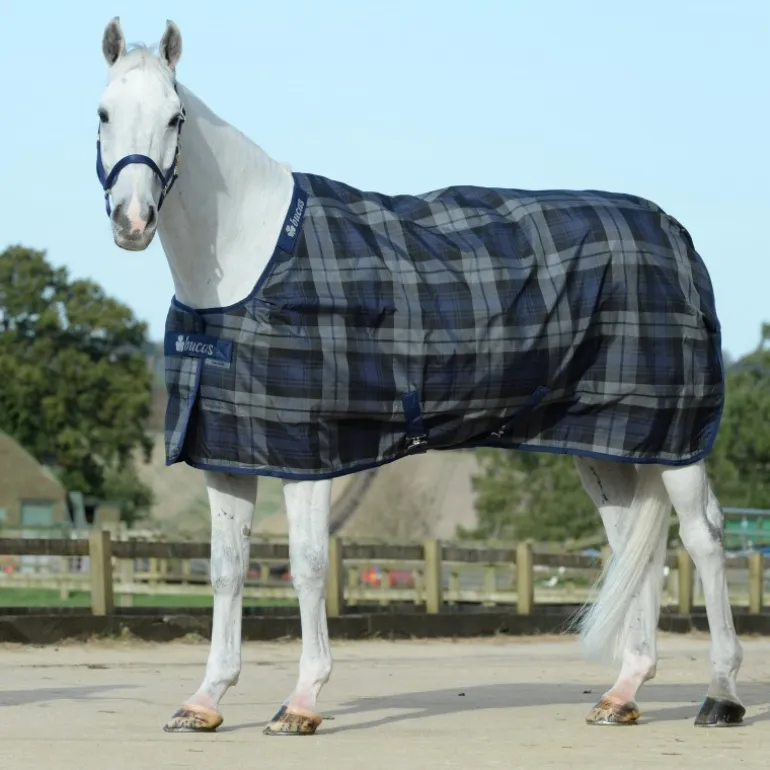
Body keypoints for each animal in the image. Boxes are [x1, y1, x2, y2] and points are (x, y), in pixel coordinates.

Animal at [94, 17, 745, 734]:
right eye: (103, 112)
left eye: (175, 116)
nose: (132, 221)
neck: (252, 256)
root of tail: (673, 232)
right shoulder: (227, 451)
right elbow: (227, 571)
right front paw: (205, 700)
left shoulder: (309, 454)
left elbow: (309, 567)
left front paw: (301, 701)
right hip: (610, 443)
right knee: (636, 546)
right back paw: (623, 692)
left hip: (678, 440)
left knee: (704, 540)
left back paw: (720, 694)